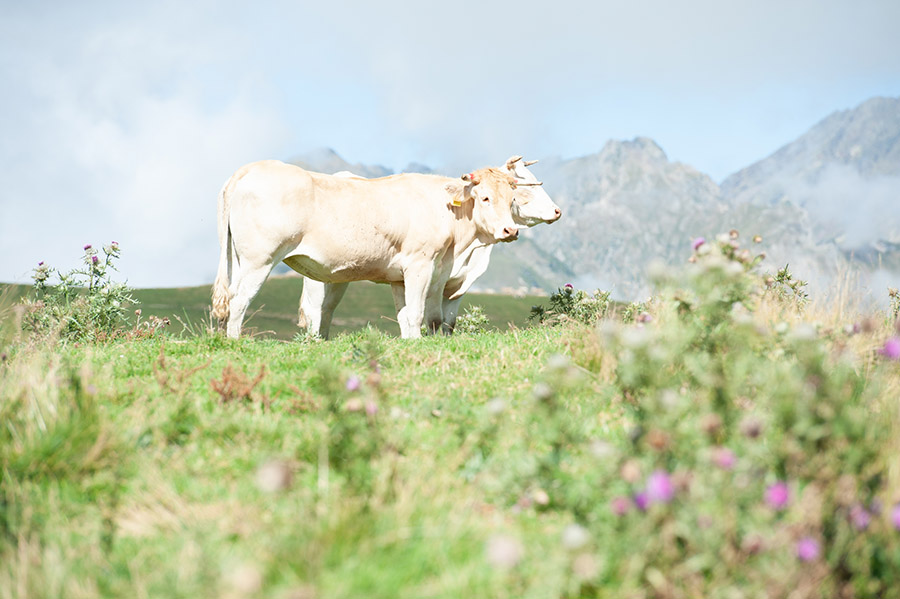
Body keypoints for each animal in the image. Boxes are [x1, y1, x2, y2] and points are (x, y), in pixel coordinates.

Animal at [211, 161, 520, 338]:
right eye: (485, 198)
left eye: (511, 199)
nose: (511, 231)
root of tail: (253, 167)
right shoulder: (420, 264)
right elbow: (417, 314)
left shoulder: (401, 276)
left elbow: (407, 317)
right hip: (259, 259)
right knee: (239, 301)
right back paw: (235, 342)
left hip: (237, 259)